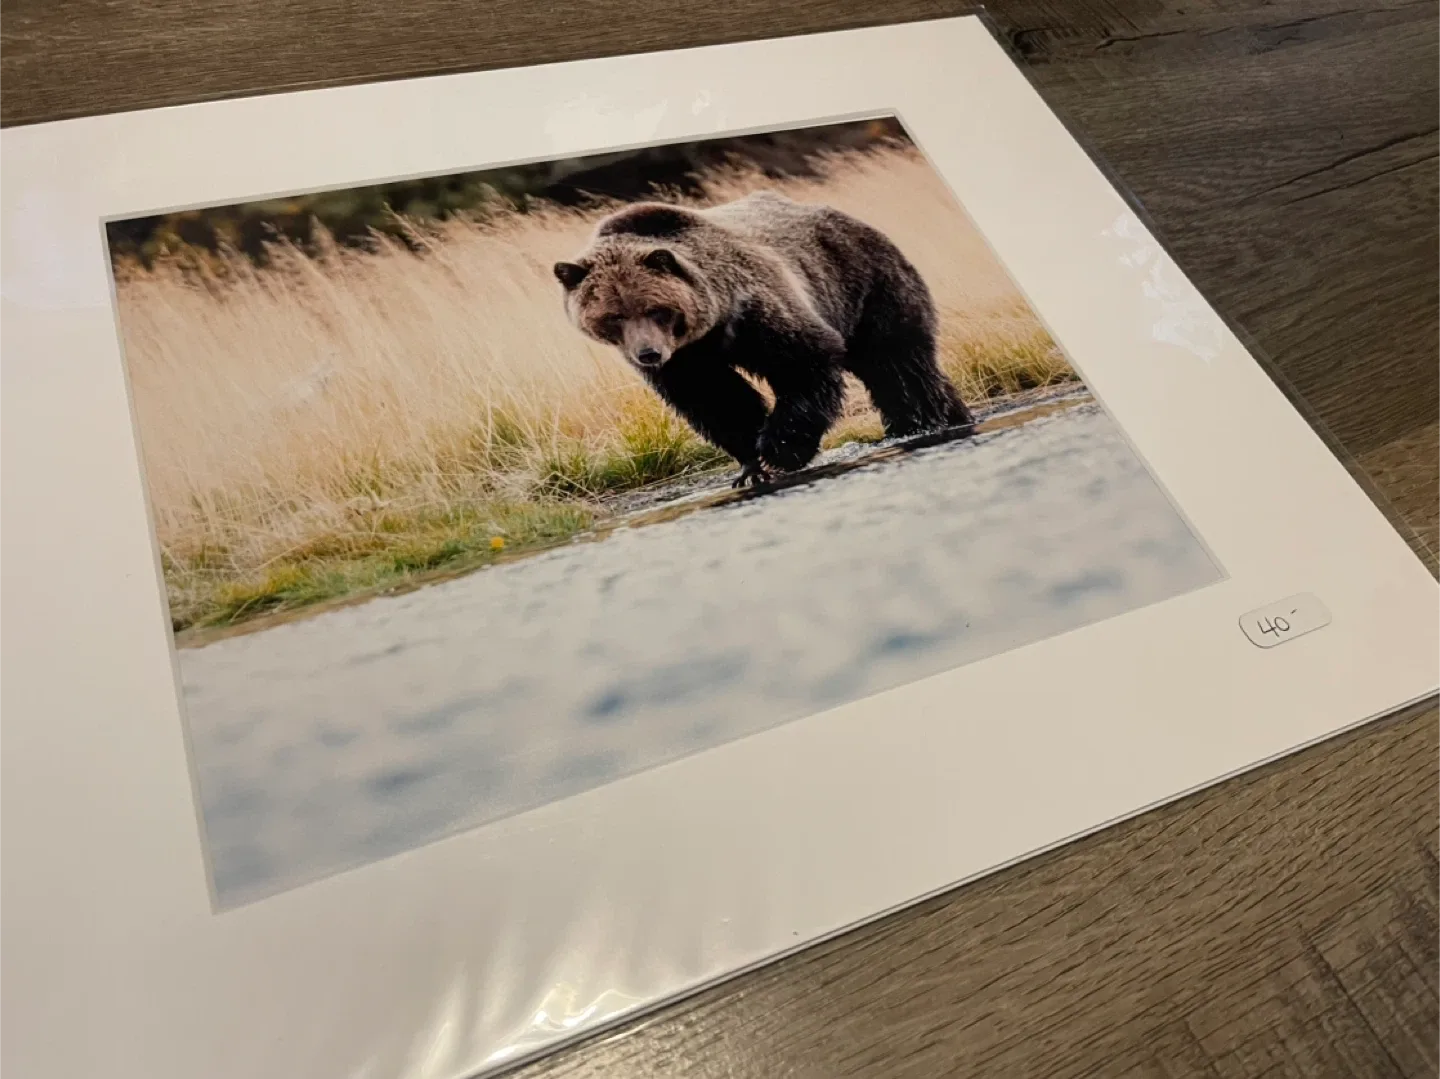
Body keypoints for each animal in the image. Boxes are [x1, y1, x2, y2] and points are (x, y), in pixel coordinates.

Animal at [554, 190, 974, 487]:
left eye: (656, 309)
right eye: (613, 317)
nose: (648, 354)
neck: (709, 327)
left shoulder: (753, 310)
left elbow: (804, 360)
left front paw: (779, 449)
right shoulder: (688, 360)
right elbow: (717, 399)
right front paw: (750, 463)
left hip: (864, 283)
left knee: (895, 360)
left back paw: (918, 422)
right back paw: (952, 413)